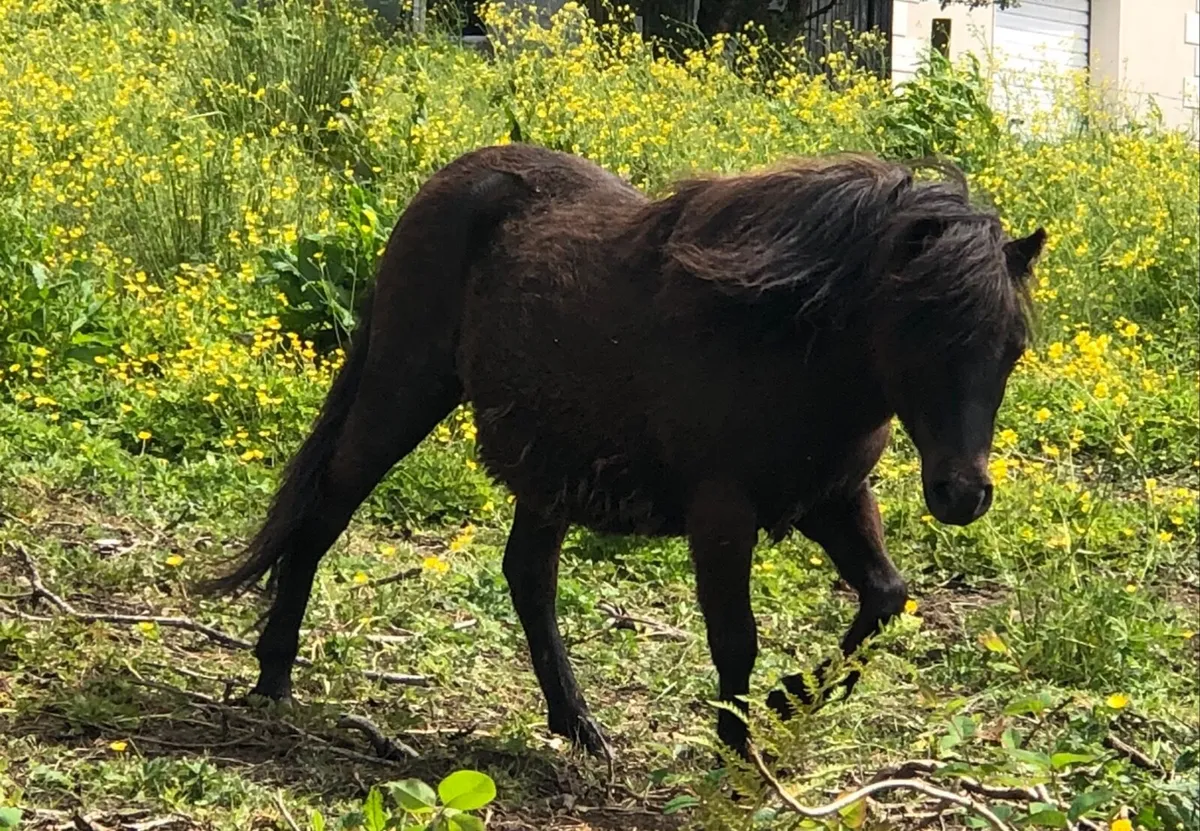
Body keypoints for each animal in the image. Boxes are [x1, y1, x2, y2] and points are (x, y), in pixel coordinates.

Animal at [200, 143, 1045, 759]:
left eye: (1011, 347)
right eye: (922, 331)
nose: (963, 494)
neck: (788, 334)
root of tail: (447, 182)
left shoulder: (834, 497)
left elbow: (885, 596)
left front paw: (790, 701)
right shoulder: (723, 512)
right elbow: (735, 639)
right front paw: (738, 754)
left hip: (544, 465)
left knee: (527, 577)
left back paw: (579, 724)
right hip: (401, 396)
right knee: (325, 514)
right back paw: (273, 674)